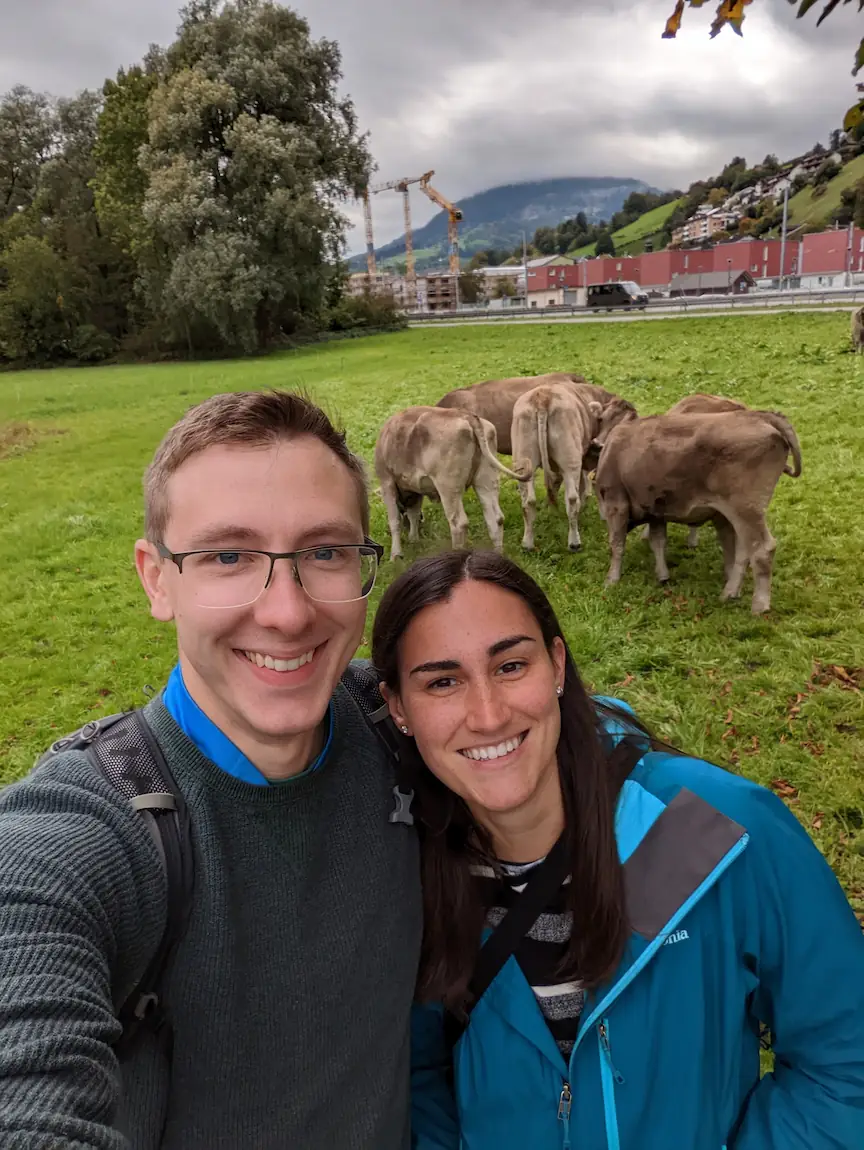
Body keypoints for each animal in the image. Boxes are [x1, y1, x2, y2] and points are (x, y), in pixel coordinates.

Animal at [372, 409, 526, 561]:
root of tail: (467, 416)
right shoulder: (416, 491)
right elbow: (414, 514)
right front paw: (413, 539)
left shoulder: (387, 482)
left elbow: (395, 520)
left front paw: (396, 555)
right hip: (486, 481)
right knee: (495, 518)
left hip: (448, 488)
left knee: (458, 523)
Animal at [506, 384, 635, 549]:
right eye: (601, 419)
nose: (597, 445)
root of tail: (543, 396)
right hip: (570, 461)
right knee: (572, 499)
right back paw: (574, 542)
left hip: (523, 461)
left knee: (528, 501)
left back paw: (527, 543)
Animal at [593, 409, 805, 616]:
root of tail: (761, 414)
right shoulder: (656, 510)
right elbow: (658, 541)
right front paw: (663, 575)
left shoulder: (616, 503)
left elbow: (617, 544)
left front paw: (611, 580)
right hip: (740, 514)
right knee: (744, 550)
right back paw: (730, 593)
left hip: (746, 509)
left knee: (762, 549)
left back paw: (759, 606)